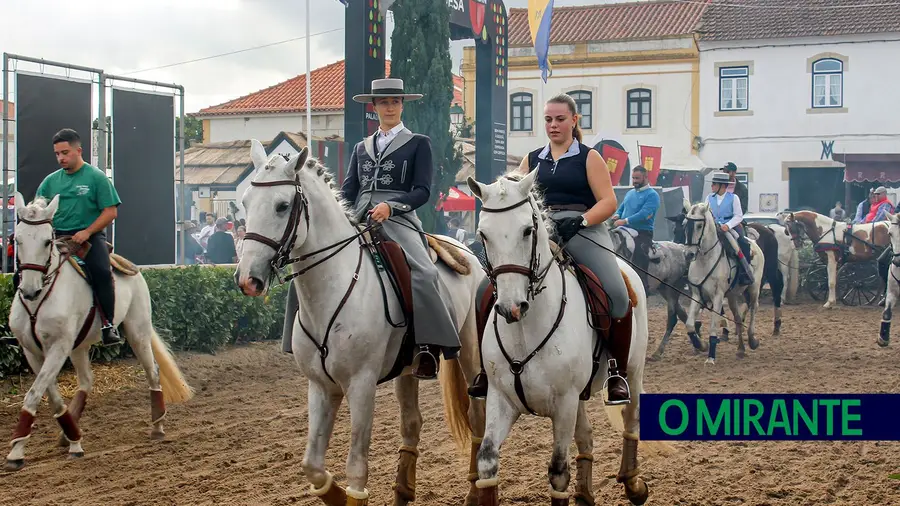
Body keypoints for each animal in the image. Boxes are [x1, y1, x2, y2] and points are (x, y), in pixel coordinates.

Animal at [5, 193, 192, 470]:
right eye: (16, 240)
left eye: (47, 240)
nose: (28, 290)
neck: (40, 299)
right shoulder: (33, 351)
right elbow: (50, 395)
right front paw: (71, 437)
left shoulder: (59, 346)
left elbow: (34, 394)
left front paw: (17, 451)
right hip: (80, 347)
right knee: (86, 381)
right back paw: (68, 433)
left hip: (137, 331)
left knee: (153, 371)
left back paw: (157, 425)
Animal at [232, 141, 486, 506]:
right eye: (246, 203)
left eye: (282, 206)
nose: (247, 279)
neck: (335, 286)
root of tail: (466, 249)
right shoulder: (321, 387)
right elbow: (311, 465)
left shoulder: (361, 385)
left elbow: (356, 466)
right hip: (408, 369)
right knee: (412, 424)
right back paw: (403, 491)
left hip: (470, 353)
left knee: (478, 417)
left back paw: (477, 490)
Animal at [472, 171, 648, 506]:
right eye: (483, 234)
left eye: (527, 230)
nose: (511, 307)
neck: (525, 330)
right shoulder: (501, 399)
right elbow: (487, 459)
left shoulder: (564, 403)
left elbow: (557, 471)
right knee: (587, 437)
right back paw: (585, 494)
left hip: (632, 371)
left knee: (631, 419)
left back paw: (633, 483)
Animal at [684, 204, 764, 366]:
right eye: (685, 224)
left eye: (699, 225)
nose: (689, 254)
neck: (705, 261)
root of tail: (754, 244)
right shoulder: (697, 296)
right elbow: (689, 325)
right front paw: (701, 345)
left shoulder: (718, 297)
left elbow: (713, 327)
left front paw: (710, 357)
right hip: (732, 296)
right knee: (738, 319)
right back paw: (740, 349)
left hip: (754, 289)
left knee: (753, 308)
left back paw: (752, 340)